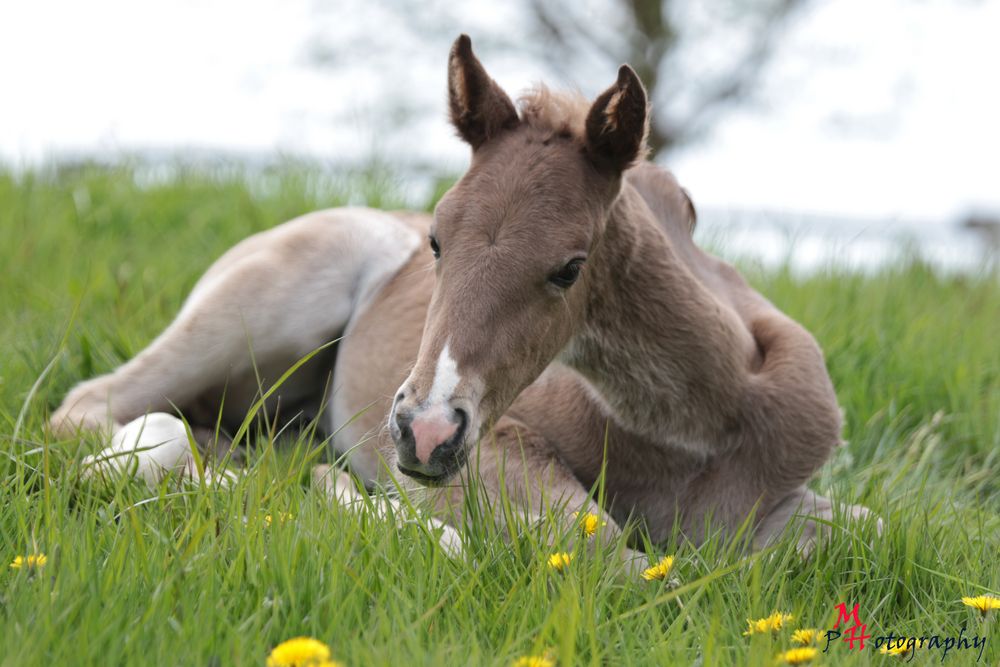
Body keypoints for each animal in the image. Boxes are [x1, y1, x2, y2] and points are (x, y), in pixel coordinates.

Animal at [50, 35, 872, 564]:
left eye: (569, 268)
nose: (424, 431)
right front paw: (359, 504)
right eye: (438, 240)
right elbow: (605, 552)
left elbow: (859, 529)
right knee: (96, 407)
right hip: (264, 304)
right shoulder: (499, 447)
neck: (698, 428)